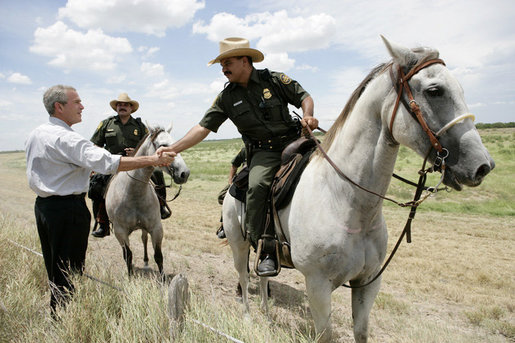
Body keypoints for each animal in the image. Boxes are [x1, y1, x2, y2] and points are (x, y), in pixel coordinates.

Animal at [106, 125, 190, 280]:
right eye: (163, 145)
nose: (184, 173)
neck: (133, 192)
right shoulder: (120, 231)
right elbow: (128, 255)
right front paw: (129, 277)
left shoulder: (156, 228)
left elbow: (158, 256)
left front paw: (162, 279)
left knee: (144, 239)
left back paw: (145, 262)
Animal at [223, 36, 496, 342]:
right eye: (435, 91)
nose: (482, 166)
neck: (344, 199)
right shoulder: (317, 286)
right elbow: (325, 335)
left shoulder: (368, 282)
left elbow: (361, 331)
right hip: (239, 244)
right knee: (245, 277)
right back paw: (249, 318)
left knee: (262, 279)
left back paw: (268, 318)